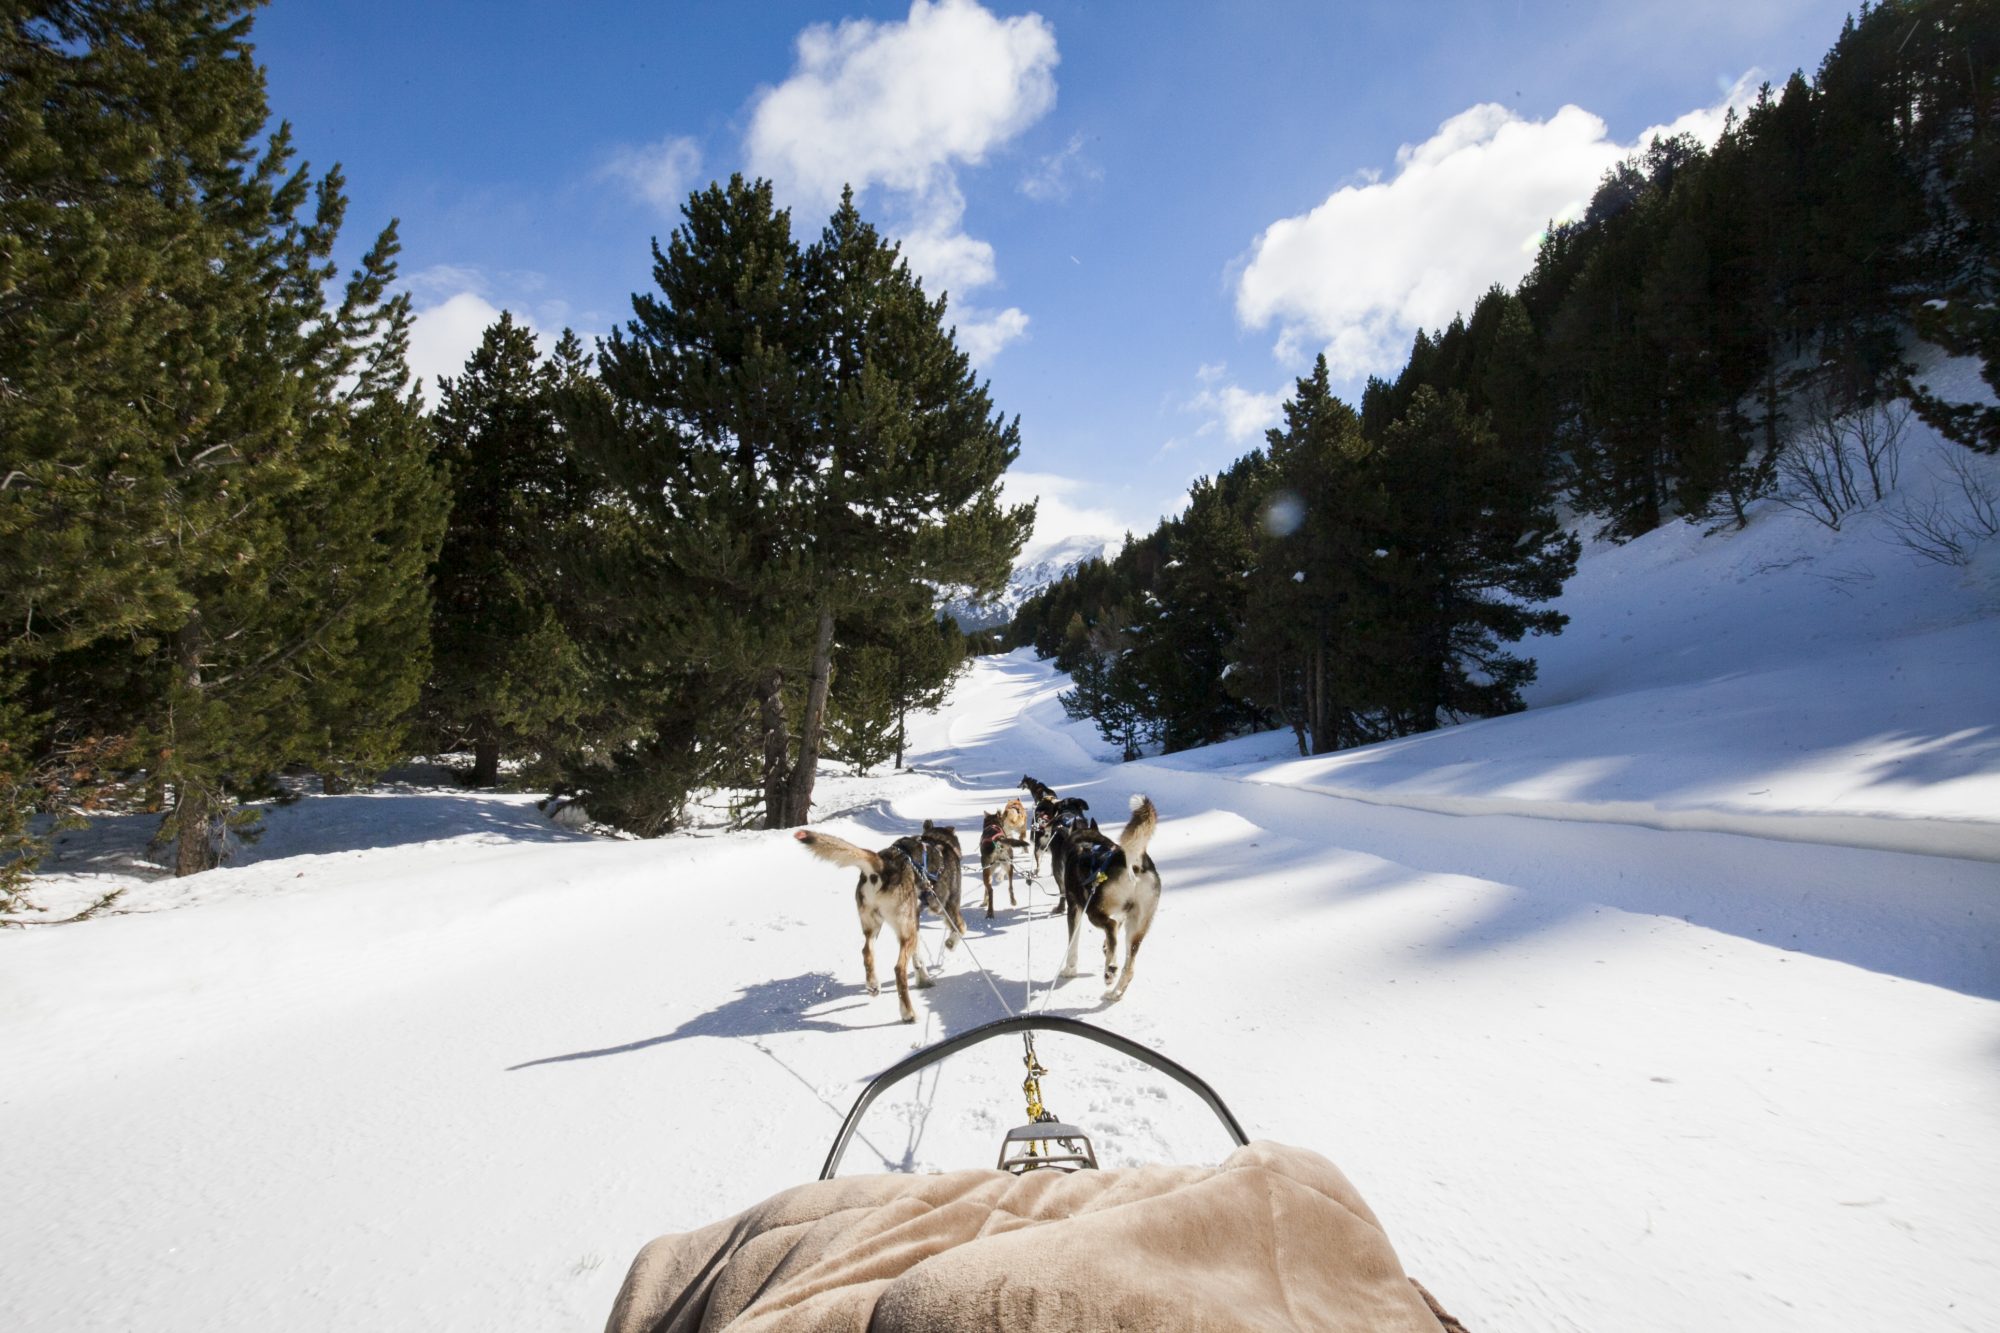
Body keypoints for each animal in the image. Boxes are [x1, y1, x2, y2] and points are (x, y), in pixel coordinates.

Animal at [788, 824, 928, 1020]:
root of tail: (882, 865)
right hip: (905, 932)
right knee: (899, 969)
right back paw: (908, 1013)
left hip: (874, 926)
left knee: (866, 951)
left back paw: (873, 985)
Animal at [1040, 788, 1168, 996]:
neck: (1083, 834)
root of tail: (1131, 860)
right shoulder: (1123, 914)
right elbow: (1111, 937)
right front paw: (1106, 949)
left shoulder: (1075, 907)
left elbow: (1073, 943)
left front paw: (1070, 969)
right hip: (1137, 926)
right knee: (1128, 964)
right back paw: (1114, 991)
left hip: (1093, 910)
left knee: (1110, 926)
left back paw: (1110, 969)